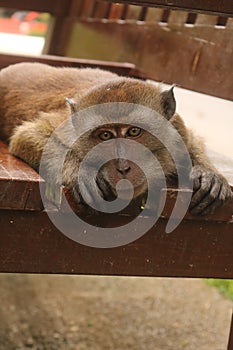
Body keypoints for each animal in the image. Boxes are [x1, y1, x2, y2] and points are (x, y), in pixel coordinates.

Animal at [0, 63, 231, 216]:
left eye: (134, 132)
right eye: (105, 136)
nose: (123, 167)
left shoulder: (178, 129)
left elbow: (191, 139)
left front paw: (210, 175)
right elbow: (27, 136)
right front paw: (81, 173)